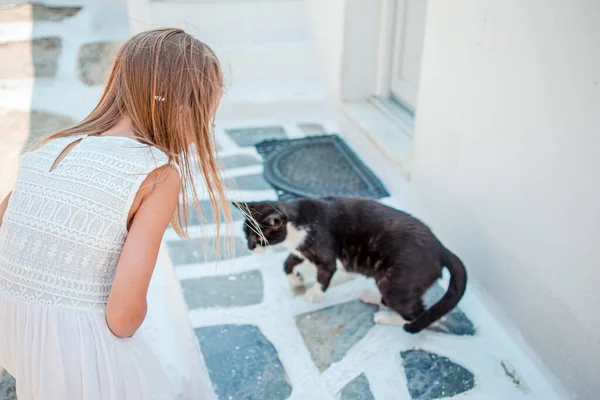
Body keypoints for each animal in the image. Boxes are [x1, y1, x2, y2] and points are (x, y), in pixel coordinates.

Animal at [239, 197, 468, 334]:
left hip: (396, 283)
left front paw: (314, 293)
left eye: (257, 237)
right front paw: (296, 277)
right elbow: (288, 262)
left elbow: (324, 274)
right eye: (245, 234)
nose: (249, 247)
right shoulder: (301, 250)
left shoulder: (325, 254)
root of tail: (441, 248)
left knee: (419, 314)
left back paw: (387, 318)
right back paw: (371, 297)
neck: (296, 224)